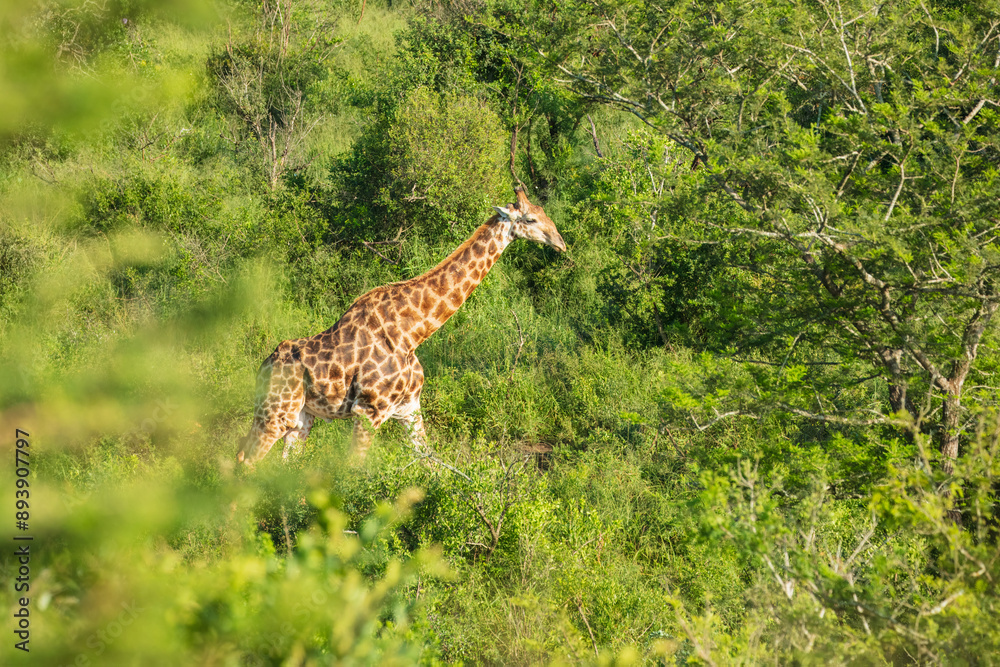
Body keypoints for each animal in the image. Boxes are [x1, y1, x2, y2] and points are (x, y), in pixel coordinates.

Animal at [237, 186, 566, 465]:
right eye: (531, 218)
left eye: (543, 212)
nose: (561, 243)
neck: (414, 332)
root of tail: (263, 366)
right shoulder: (369, 411)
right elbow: (353, 472)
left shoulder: (409, 409)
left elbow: (432, 463)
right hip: (274, 414)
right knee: (246, 461)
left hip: (300, 418)